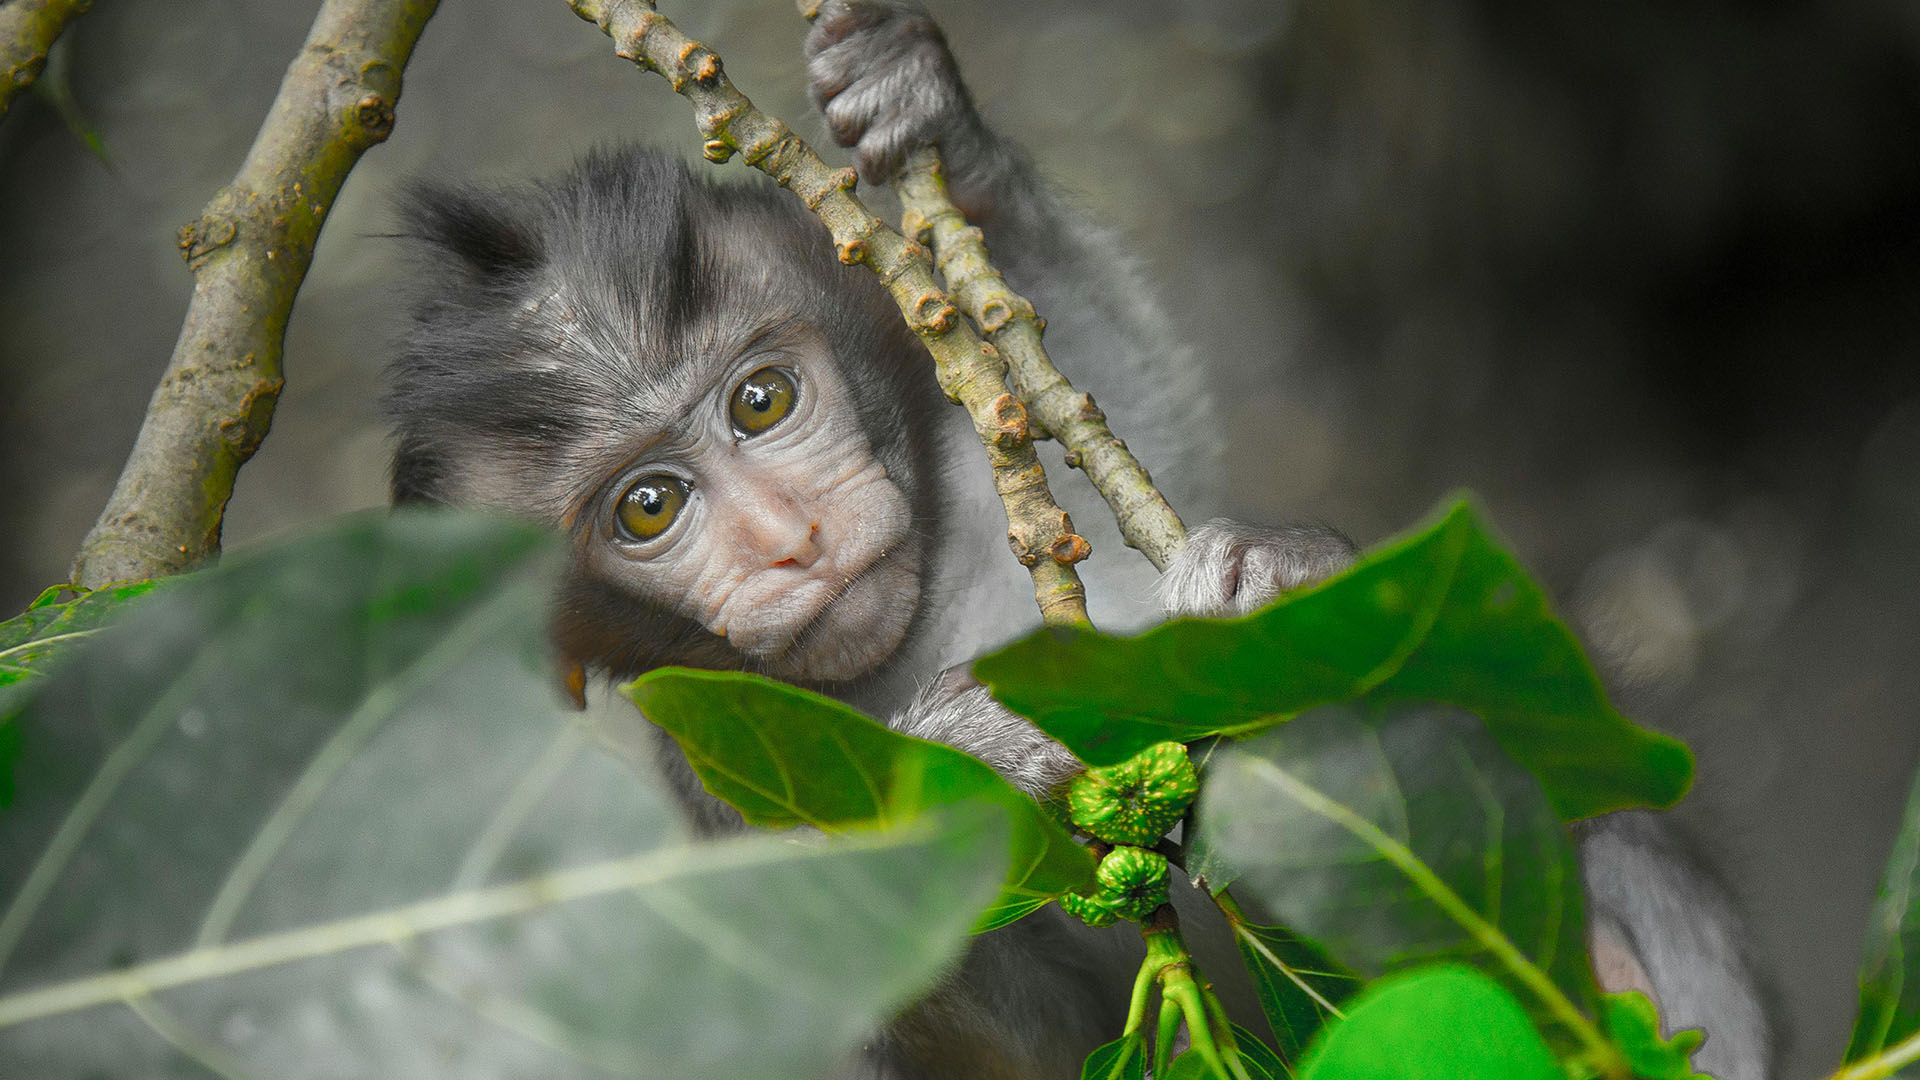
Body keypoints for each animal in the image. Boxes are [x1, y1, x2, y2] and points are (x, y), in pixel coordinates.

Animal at [385, 4, 1766, 1068]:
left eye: (762, 402)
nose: (791, 538)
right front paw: (966, 763)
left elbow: (1104, 396)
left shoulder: (979, 465)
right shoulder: (708, 783)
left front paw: (927, 107)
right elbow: (1011, 1037)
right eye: (649, 508)